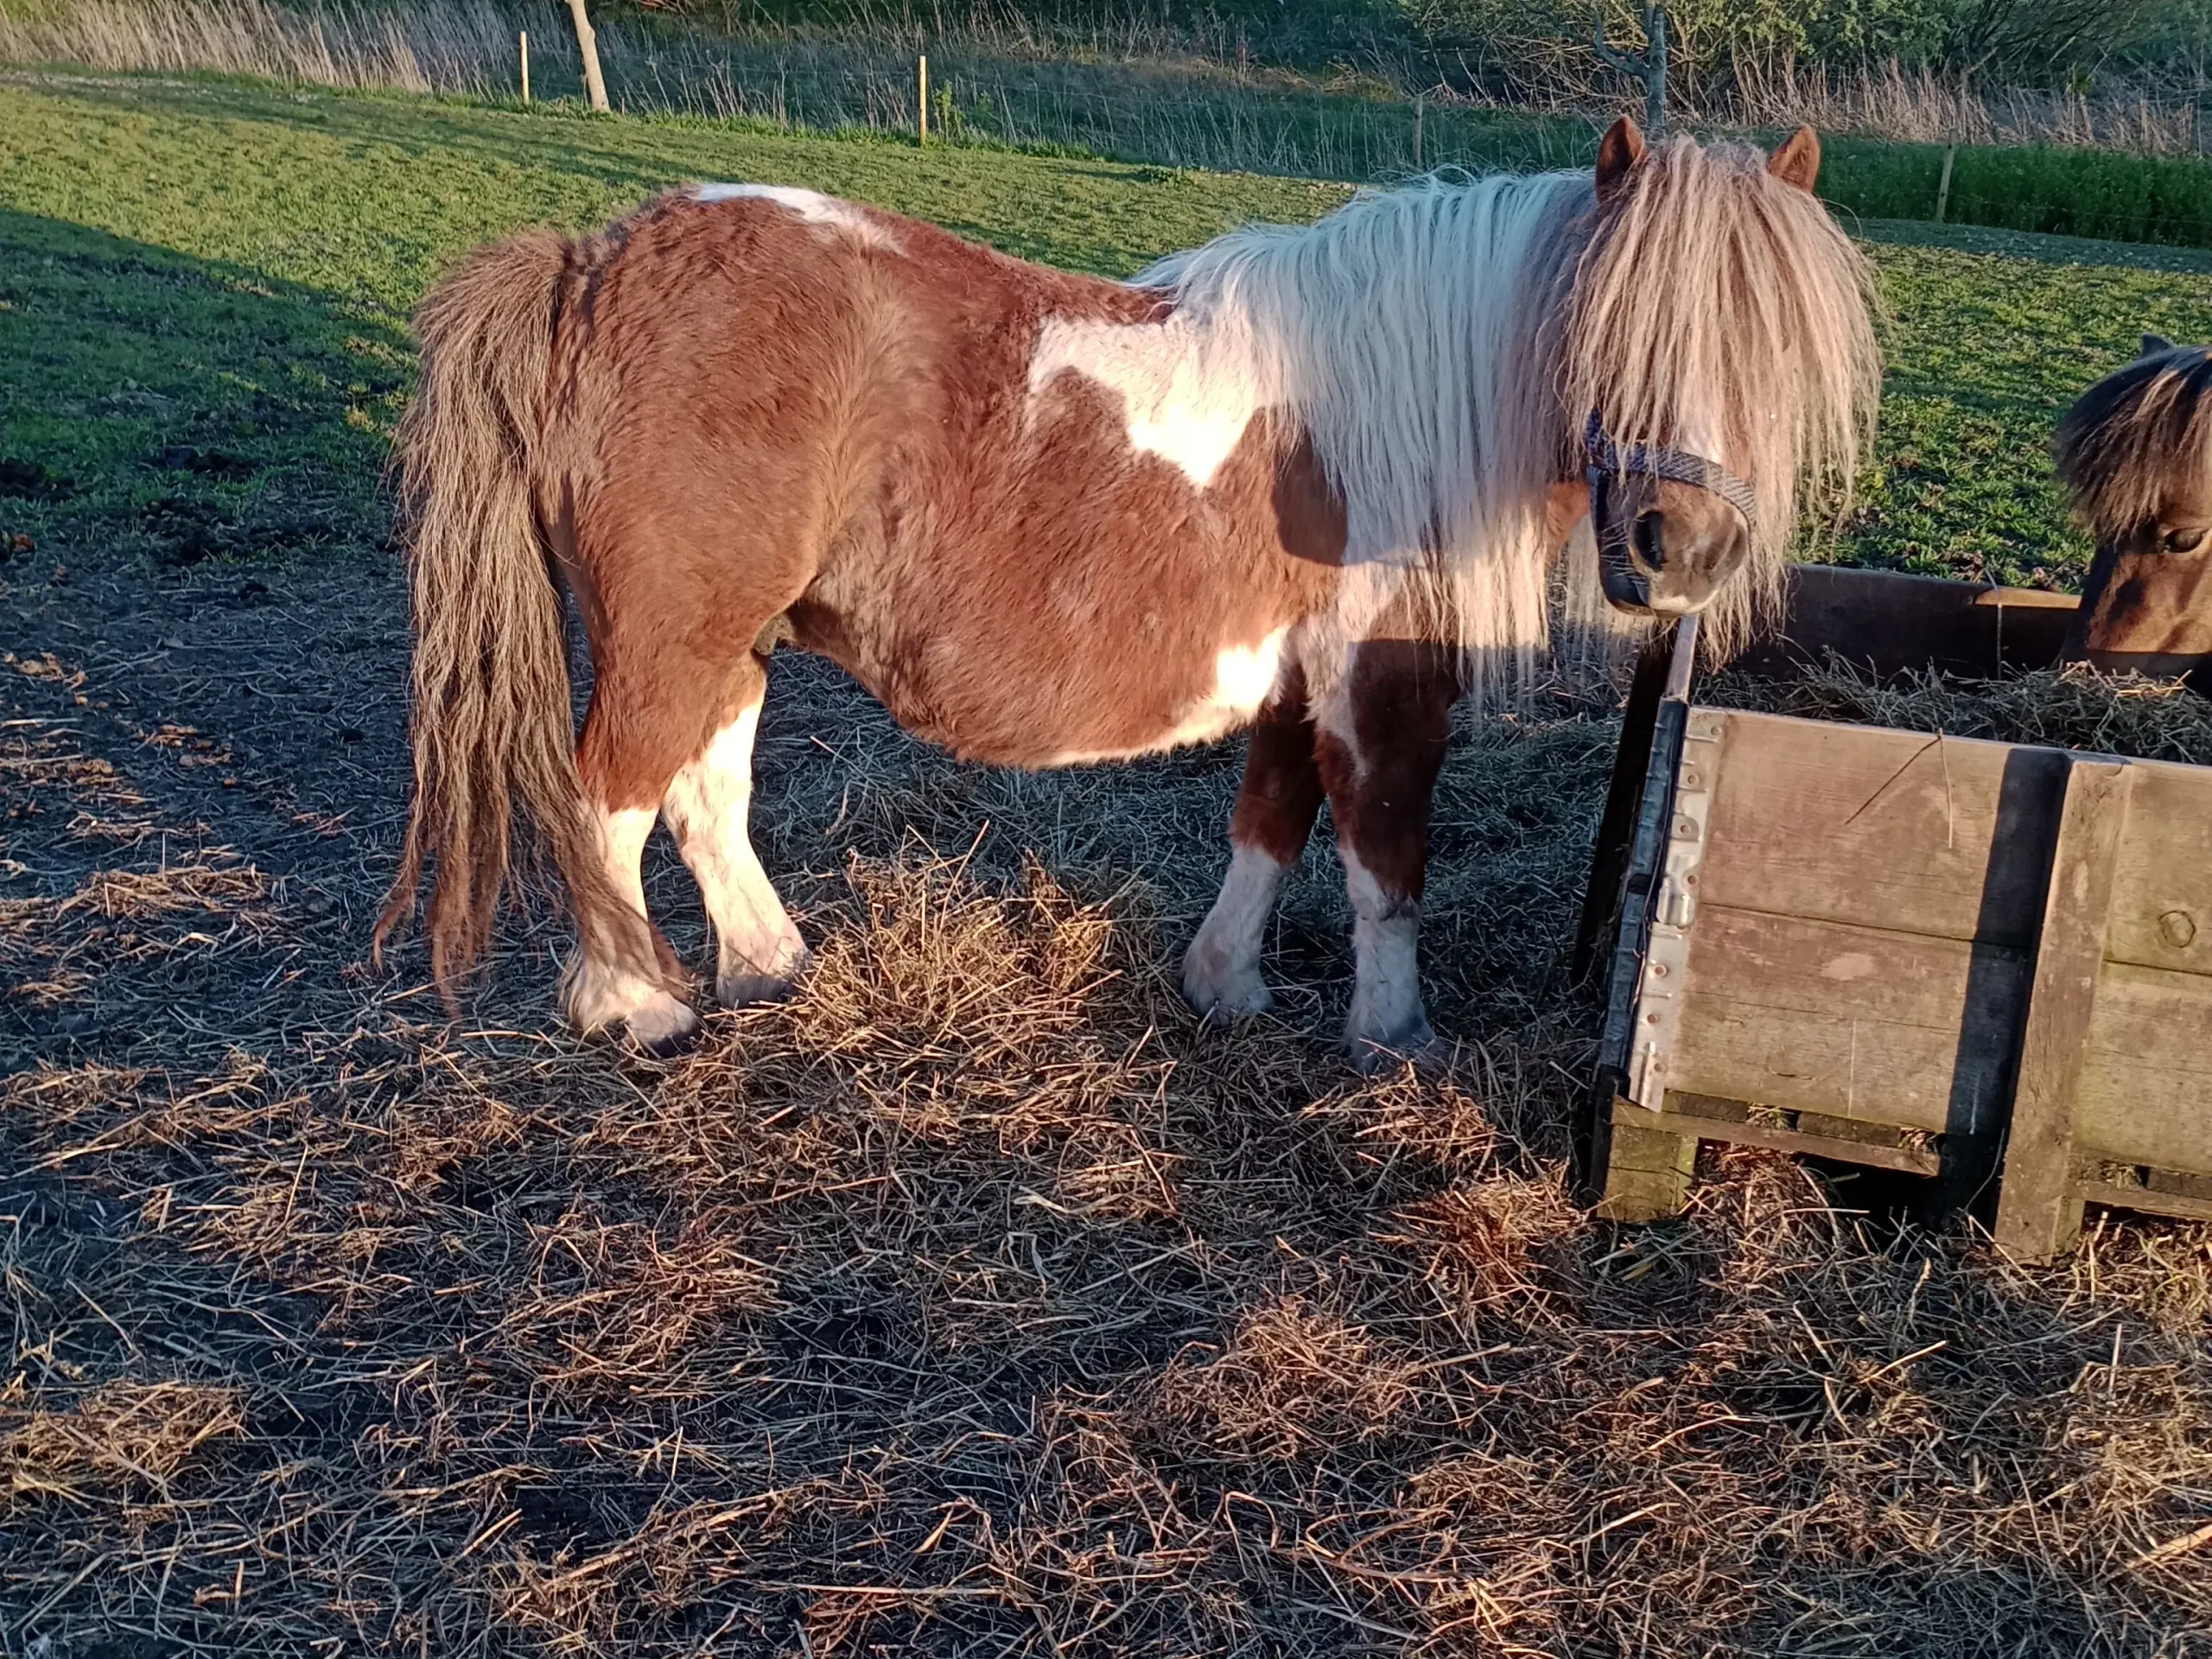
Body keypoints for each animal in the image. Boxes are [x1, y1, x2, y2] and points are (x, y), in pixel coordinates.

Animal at [385, 123, 1885, 1071]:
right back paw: (632, 1006)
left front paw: (1226, 987)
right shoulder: (1383, 676)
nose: (1681, 546)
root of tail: (591, 264)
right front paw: (1395, 1038)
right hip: (671, 636)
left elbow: (1273, 821)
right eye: (1611, 330)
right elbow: (1386, 854)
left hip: (732, 640)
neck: (1404, 392)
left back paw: (770, 964)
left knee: (706, 795)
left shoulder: (1297, 674)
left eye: (1771, 355)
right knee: (611, 801)